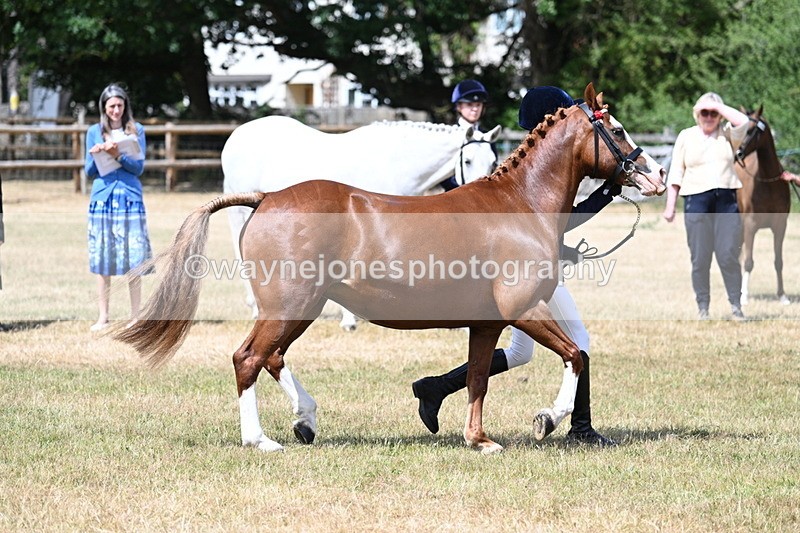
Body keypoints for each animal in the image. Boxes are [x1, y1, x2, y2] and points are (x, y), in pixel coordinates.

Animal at [221, 116, 502, 329]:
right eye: (467, 160)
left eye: (493, 161)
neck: (395, 162)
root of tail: (237, 134)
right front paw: (349, 320)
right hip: (240, 214)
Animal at [734, 107, 791, 305]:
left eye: (751, 130)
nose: (739, 154)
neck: (768, 181)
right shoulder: (750, 225)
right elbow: (749, 261)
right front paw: (744, 297)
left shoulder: (780, 226)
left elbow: (779, 261)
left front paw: (782, 295)